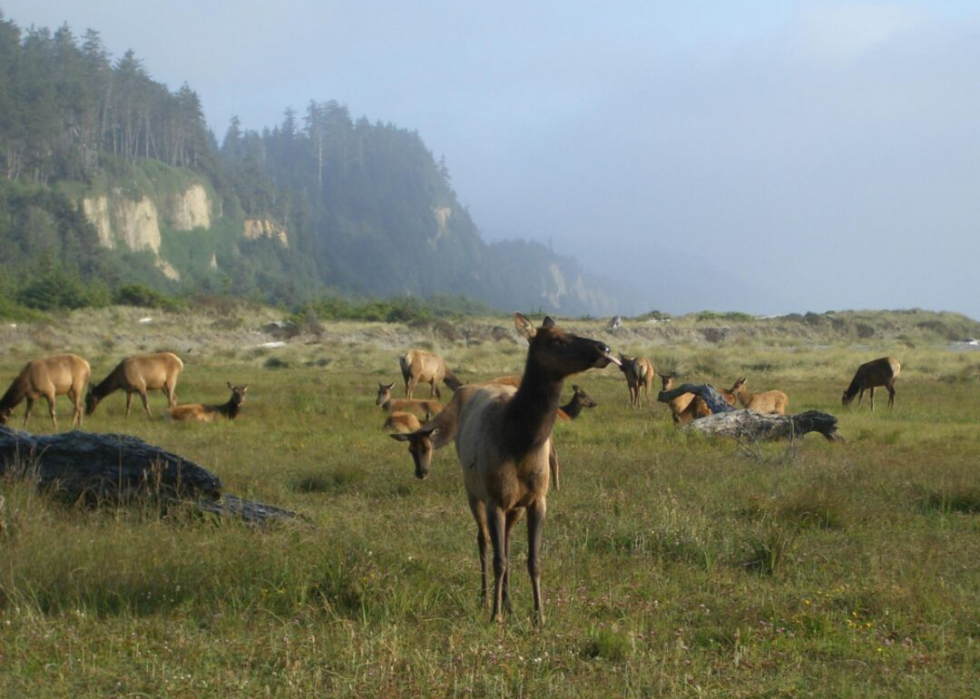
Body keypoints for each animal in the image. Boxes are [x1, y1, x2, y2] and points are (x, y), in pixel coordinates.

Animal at [394, 314, 616, 628]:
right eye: (556, 339)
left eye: (570, 330)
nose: (603, 348)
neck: (520, 441)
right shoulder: (494, 499)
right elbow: (499, 560)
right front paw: (495, 616)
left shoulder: (537, 500)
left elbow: (533, 560)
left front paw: (539, 616)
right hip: (473, 492)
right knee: (484, 541)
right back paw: (486, 598)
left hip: (514, 506)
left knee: (508, 543)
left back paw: (509, 602)